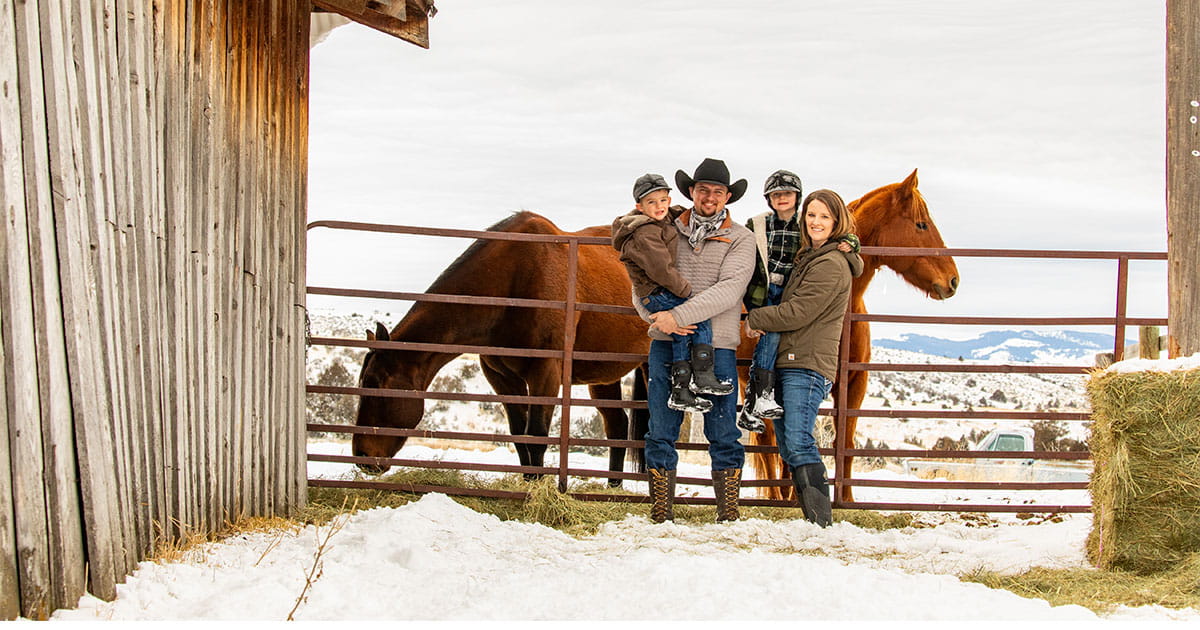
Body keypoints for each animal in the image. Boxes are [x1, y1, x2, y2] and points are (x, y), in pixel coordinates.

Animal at [351, 212, 649, 485]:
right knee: (617, 425)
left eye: (375, 384)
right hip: (603, 376)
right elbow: (519, 434)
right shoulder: (501, 376)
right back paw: (613, 487)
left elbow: (536, 434)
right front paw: (529, 482)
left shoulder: (545, 372)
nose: (362, 456)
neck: (516, 280)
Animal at [746, 168, 959, 503]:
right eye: (922, 224)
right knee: (767, 442)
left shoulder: (854, 384)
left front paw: (846, 500)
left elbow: (845, 442)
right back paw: (774, 496)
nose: (953, 280)